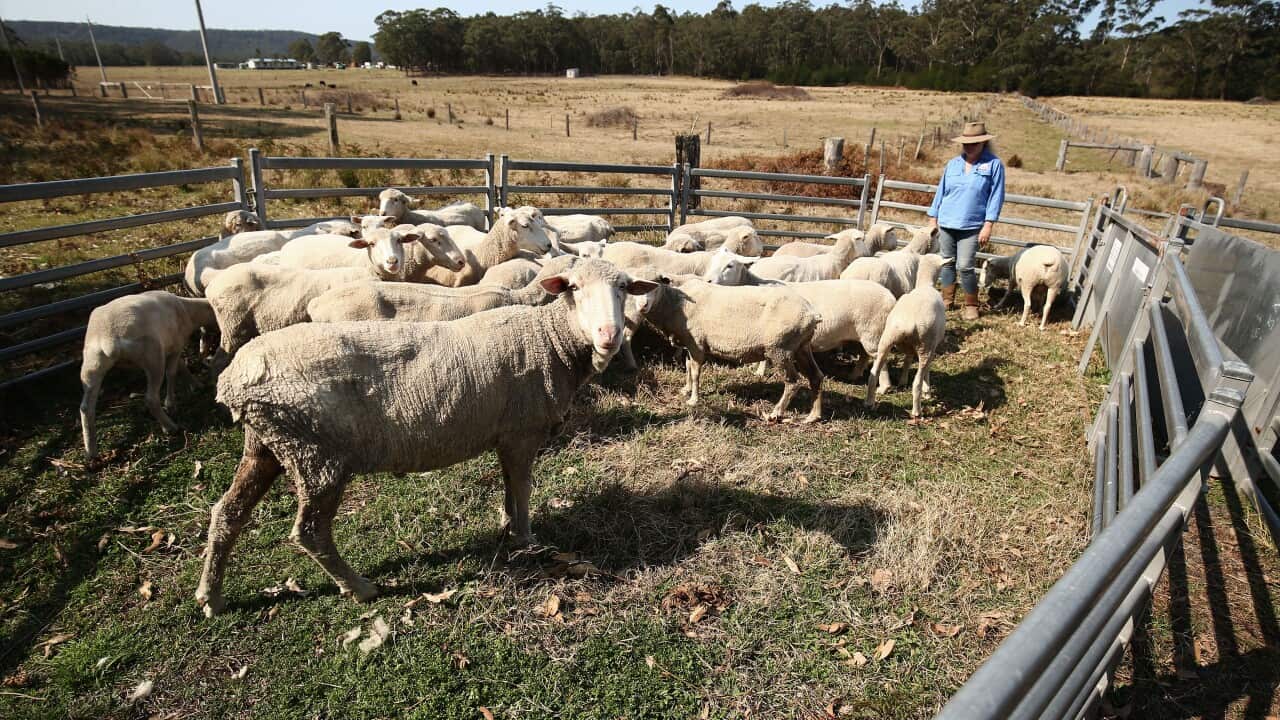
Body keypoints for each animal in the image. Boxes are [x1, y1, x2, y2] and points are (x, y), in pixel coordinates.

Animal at [79, 291, 216, 459]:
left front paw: (196, 384)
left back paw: (91, 450)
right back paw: (170, 427)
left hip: (92, 365)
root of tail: (109, 339)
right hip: (152, 356)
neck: (189, 311)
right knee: (151, 398)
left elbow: (182, 367)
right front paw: (171, 403)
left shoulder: (170, 348)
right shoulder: (175, 346)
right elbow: (172, 373)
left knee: (86, 408)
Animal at [194, 259, 657, 615]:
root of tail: (233, 382)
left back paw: (211, 597)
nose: (609, 335)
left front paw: (508, 523)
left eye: (624, 289)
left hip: (268, 445)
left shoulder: (507, 435)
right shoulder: (523, 431)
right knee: (309, 532)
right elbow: (524, 487)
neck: (549, 339)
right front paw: (526, 539)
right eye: (574, 288)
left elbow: (510, 485)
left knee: (226, 513)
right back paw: (359, 588)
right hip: (316, 457)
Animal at [629, 273, 824, 422]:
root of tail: (812, 314)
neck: (676, 303)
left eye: (656, 284)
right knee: (816, 376)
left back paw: (775, 413)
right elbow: (688, 367)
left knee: (792, 381)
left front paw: (693, 400)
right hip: (801, 346)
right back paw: (813, 416)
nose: (642, 306)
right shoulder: (689, 343)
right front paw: (686, 390)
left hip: (780, 348)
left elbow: (695, 372)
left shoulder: (696, 343)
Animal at [870, 254, 954, 417]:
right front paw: (928, 391)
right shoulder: (933, 345)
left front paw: (902, 381)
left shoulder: (909, 347)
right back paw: (917, 412)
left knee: (873, 374)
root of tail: (907, 323)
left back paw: (868, 401)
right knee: (917, 382)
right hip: (925, 344)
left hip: (886, 340)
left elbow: (907, 360)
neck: (925, 285)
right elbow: (927, 368)